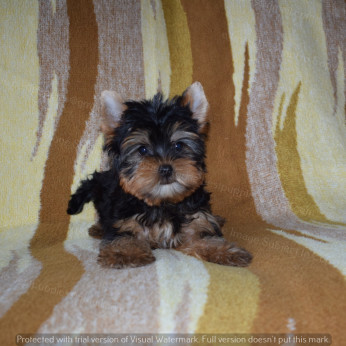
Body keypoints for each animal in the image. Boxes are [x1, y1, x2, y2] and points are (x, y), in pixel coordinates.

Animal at [67, 82, 251, 268]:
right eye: (142, 150)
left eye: (178, 146)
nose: (166, 169)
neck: (163, 202)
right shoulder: (124, 218)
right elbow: (123, 235)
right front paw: (125, 252)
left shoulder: (195, 221)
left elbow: (203, 238)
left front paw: (226, 250)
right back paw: (99, 228)